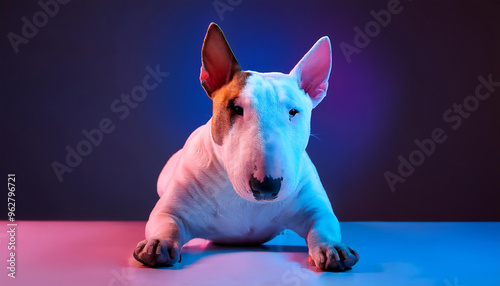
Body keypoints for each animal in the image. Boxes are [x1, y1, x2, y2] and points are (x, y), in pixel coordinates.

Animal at [134, 23, 360, 272]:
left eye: (293, 112)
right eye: (236, 108)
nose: (266, 187)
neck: (245, 203)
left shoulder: (313, 203)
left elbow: (324, 223)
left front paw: (331, 247)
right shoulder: (171, 208)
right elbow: (166, 220)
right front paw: (158, 244)